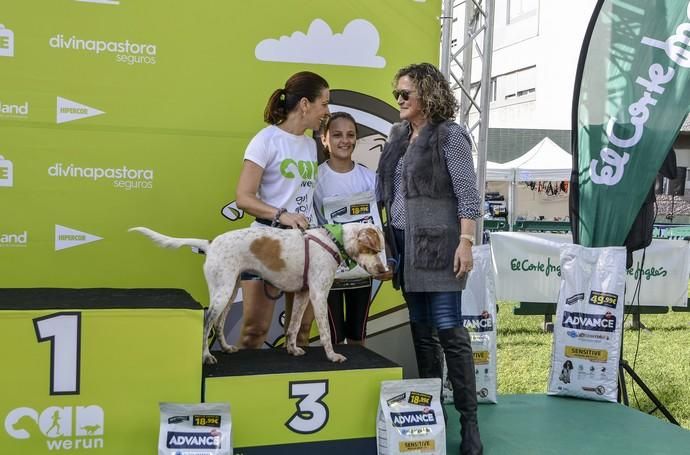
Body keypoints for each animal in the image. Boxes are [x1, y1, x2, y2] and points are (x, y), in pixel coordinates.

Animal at [129, 225, 388, 366]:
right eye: (373, 249)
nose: (384, 270)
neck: (333, 240)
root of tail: (211, 243)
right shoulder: (318, 295)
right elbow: (324, 333)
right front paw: (333, 356)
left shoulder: (303, 294)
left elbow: (293, 326)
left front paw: (292, 349)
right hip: (222, 293)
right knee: (206, 323)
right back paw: (206, 357)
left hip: (230, 291)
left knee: (219, 324)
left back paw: (226, 348)